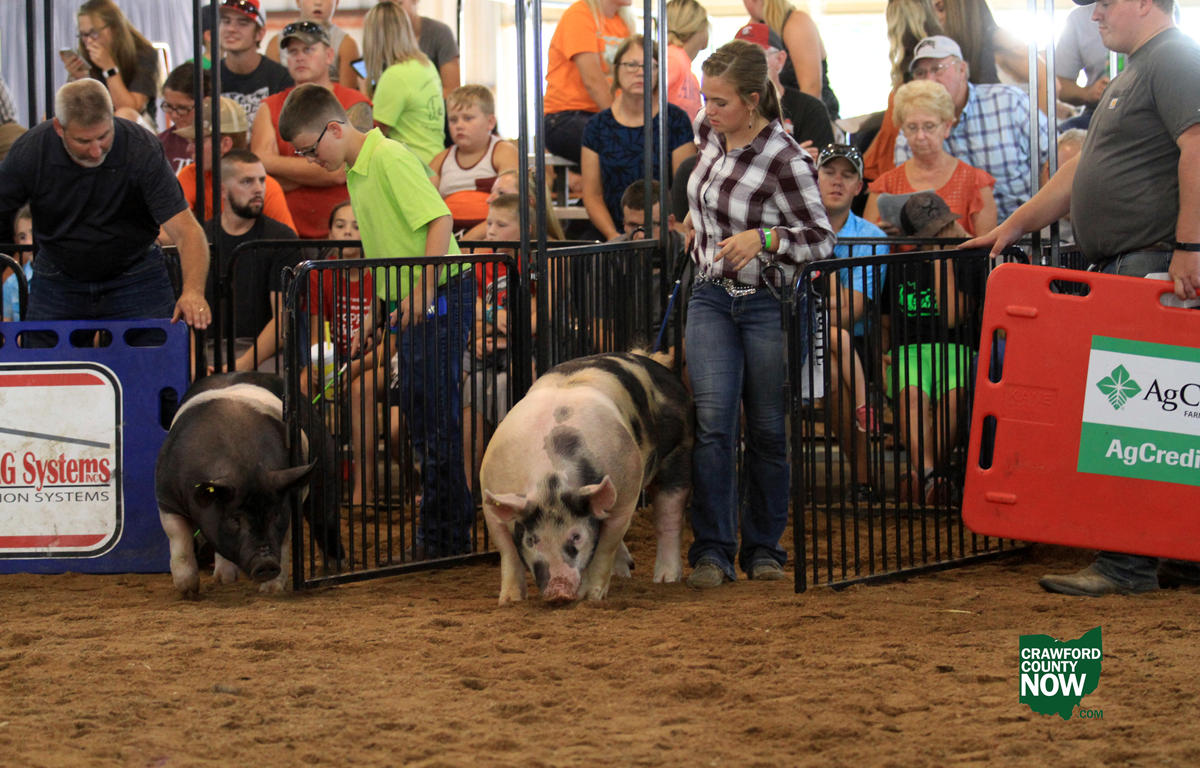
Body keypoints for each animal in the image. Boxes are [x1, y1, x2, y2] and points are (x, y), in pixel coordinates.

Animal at [155, 371, 343, 598]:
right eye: (234, 519)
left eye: (275, 514)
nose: (266, 564)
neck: (242, 463)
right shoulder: (167, 499)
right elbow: (179, 541)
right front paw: (189, 591)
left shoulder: (287, 496)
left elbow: (284, 543)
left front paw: (271, 590)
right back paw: (223, 579)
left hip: (326, 466)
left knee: (325, 518)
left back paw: (334, 569)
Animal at [480, 351, 692, 604]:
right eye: (531, 540)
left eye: (576, 536)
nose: (558, 590)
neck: (549, 480)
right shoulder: (490, 499)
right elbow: (508, 552)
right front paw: (510, 600)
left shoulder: (625, 495)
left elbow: (605, 547)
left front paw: (592, 596)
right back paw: (623, 574)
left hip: (679, 452)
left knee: (669, 517)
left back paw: (665, 579)